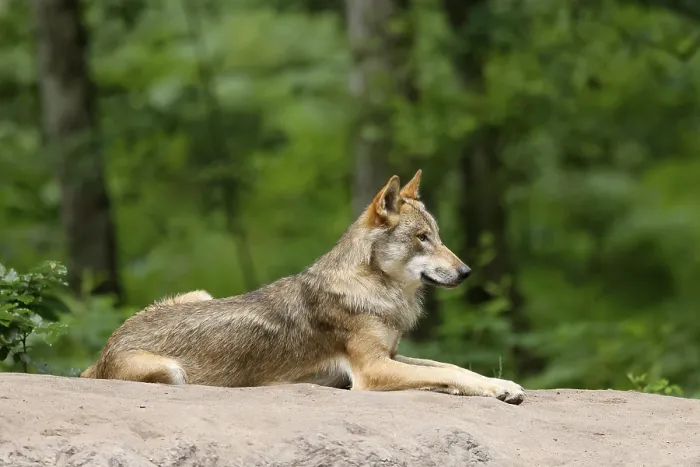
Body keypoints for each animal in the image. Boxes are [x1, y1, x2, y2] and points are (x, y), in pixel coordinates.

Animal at [81, 170, 525, 404]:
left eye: (438, 236)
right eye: (422, 238)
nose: (466, 271)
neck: (375, 290)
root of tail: (103, 352)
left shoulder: (393, 355)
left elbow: (454, 368)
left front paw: (504, 385)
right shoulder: (372, 370)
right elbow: (452, 374)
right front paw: (496, 388)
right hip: (174, 373)